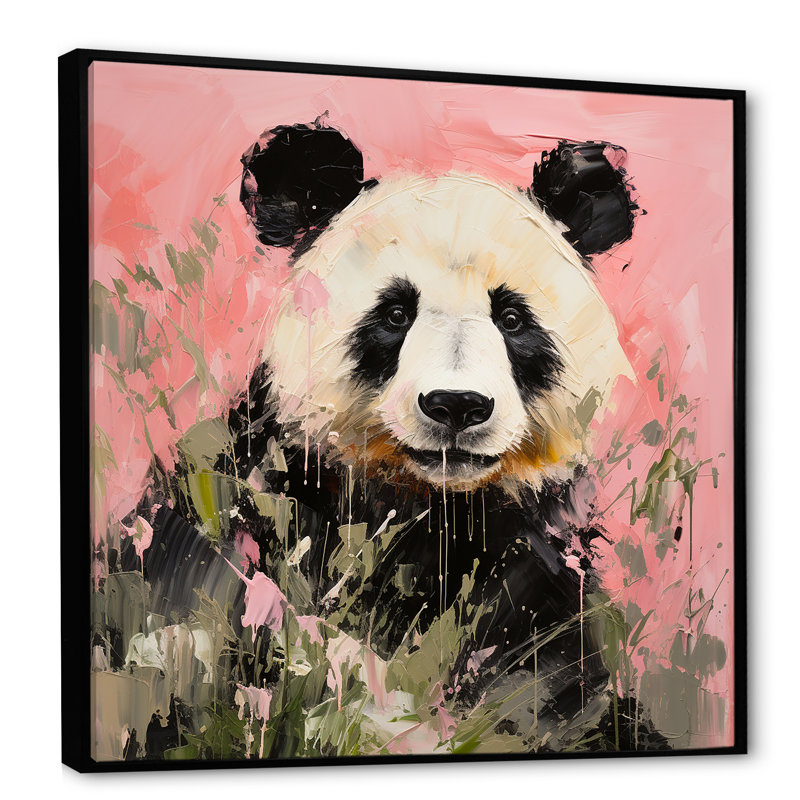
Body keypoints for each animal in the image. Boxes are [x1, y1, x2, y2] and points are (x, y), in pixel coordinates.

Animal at [126, 121, 669, 756]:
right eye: (393, 314)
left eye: (512, 319)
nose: (456, 405)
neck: (429, 506)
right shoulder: (257, 515)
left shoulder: (537, 574)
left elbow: (564, 698)